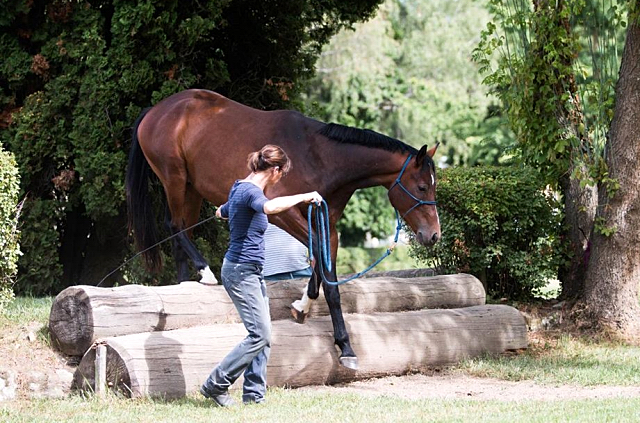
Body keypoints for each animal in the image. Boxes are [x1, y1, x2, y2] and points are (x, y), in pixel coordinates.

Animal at [127, 89, 442, 372]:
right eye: (422, 187)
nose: (434, 234)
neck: (320, 156)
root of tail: (157, 110)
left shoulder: (325, 224)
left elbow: (322, 272)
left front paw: (303, 307)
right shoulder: (284, 213)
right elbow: (329, 282)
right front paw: (346, 348)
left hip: (191, 188)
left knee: (182, 232)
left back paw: (185, 285)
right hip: (175, 179)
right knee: (175, 226)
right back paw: (205, 272)